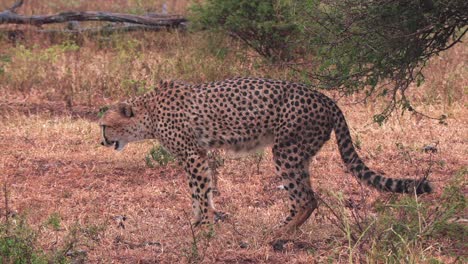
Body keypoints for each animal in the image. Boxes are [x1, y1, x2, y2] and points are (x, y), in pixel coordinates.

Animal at [98, 77, 432, 231]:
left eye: (104, 125)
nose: (101, 142)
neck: (148, 113)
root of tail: (325, 98)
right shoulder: (201, 153)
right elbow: (201, 190)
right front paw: (201, 218)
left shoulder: (192, 155)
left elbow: (199, 190)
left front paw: (203, 223)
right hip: (299, 153)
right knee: (305, 195)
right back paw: (285, 227)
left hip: (285, 150)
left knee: (307, 197)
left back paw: (281, 233)